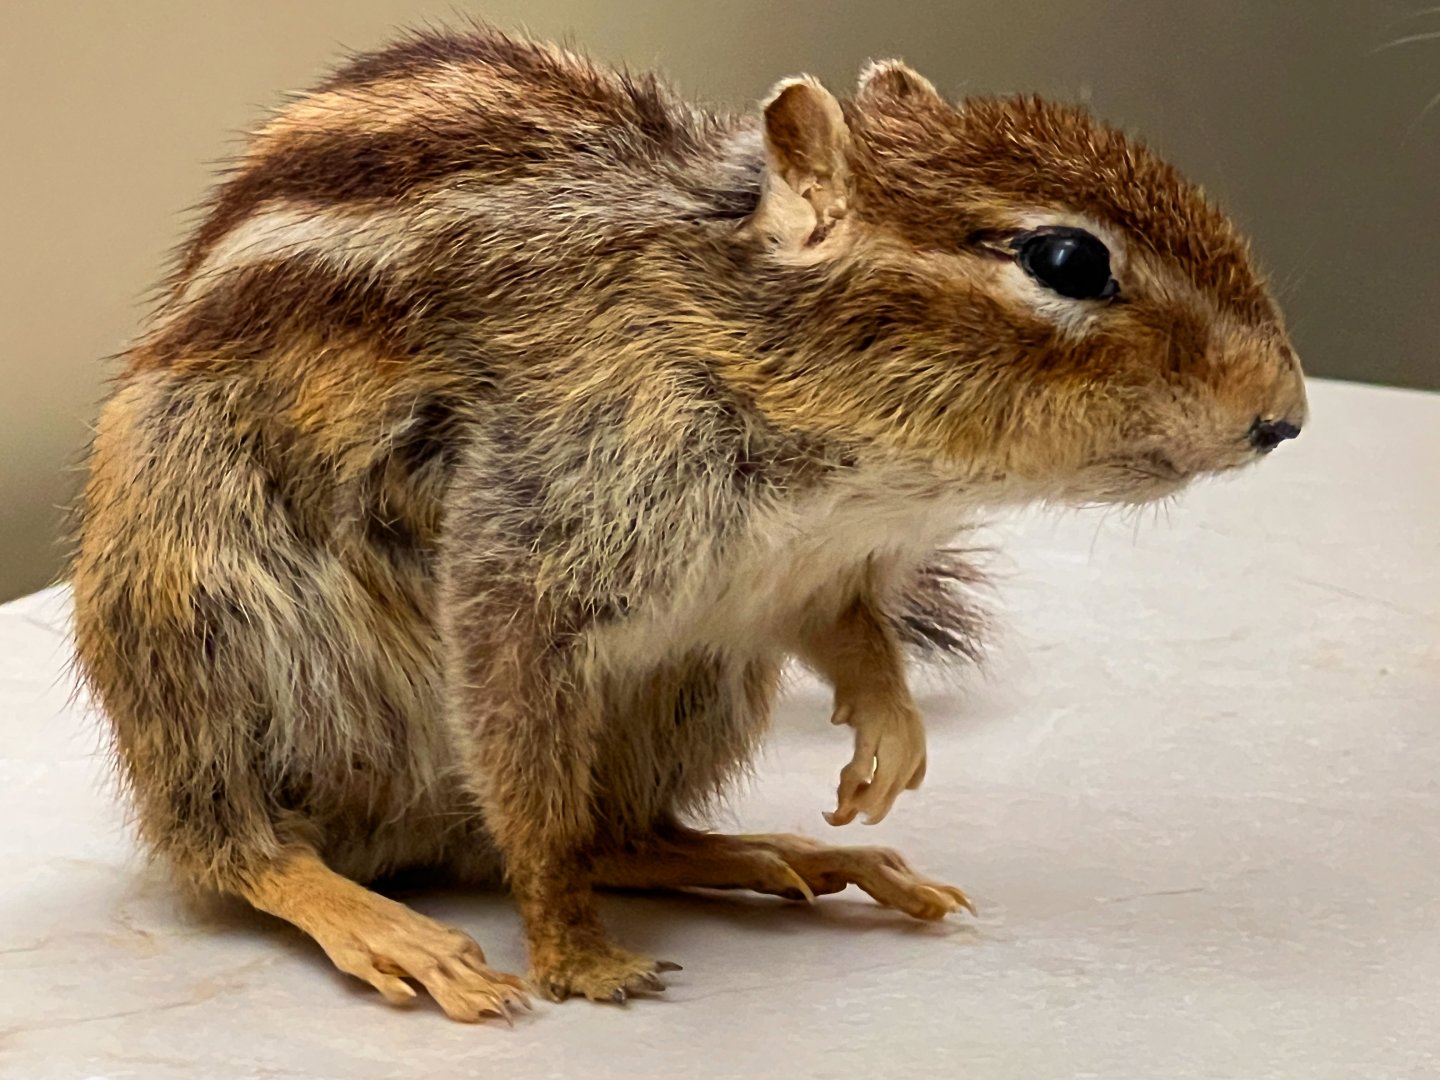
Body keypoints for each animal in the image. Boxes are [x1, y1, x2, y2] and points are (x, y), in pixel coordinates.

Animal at [70, 25, 1307, 1022]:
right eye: (1067, 258)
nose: (1287, 417)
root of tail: (404, 832)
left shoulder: (802, 575)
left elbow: (856, 642)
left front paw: (889, 747)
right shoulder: (528, 547)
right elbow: (524, 776)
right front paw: (573, 955)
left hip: (697, 681)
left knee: (619, 834)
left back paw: (786, 855)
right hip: (200, 624)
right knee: (239, 843)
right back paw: (381, 925)